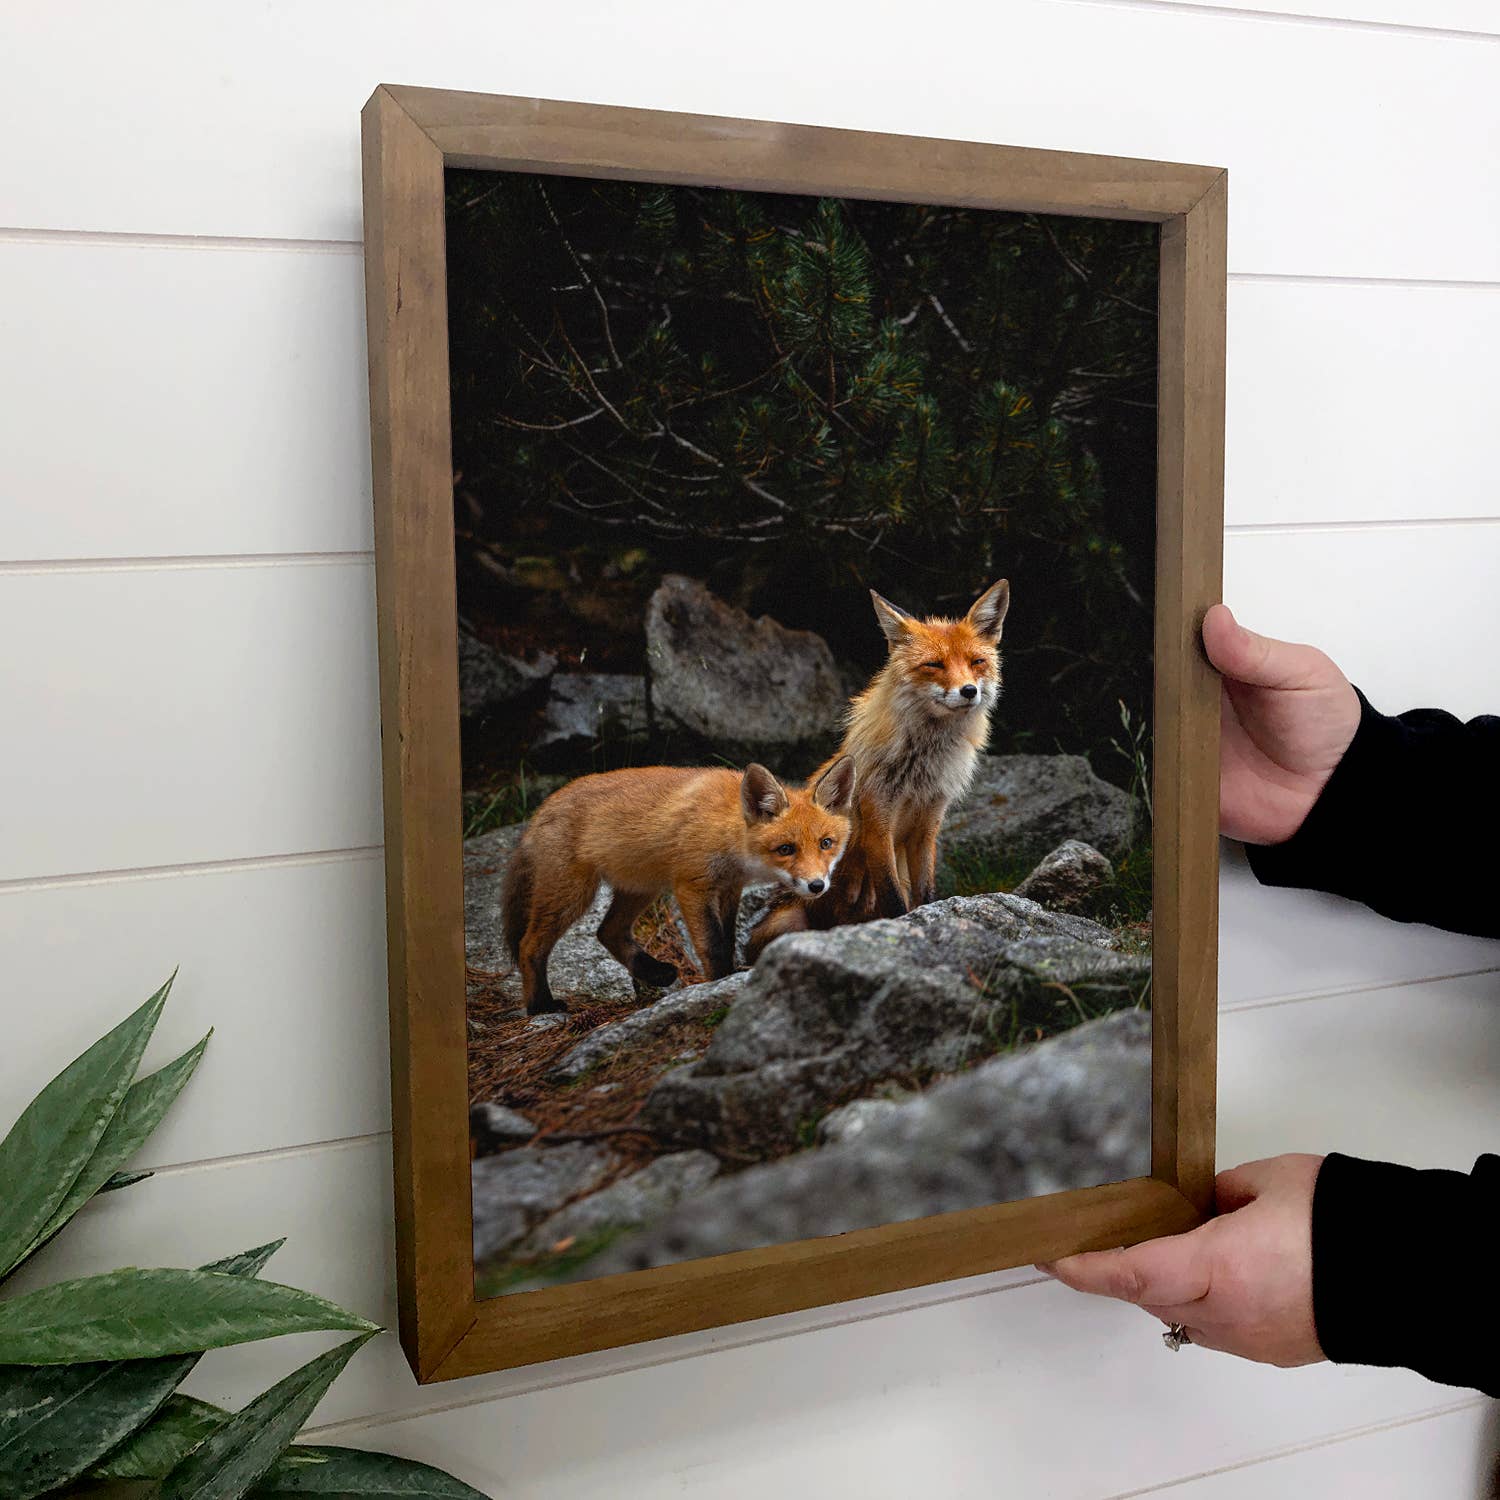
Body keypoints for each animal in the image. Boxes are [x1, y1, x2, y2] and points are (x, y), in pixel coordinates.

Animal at [501, 755, 857, 1015]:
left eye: (826, 843)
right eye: (786, 849)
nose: (816, 886)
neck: (727, 830)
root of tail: (540, 810)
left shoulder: (729, 888)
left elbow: (727, 938)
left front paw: (729, 975)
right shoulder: (692, 886)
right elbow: (712, 944)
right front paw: (719, 983)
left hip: (642, 888)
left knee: (608, 931)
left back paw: (653, 972)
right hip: (573, 893)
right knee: (530, 945)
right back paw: (540, 1006)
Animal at [745, 578, 1010, 963]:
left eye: (977, 662)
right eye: (934, 665)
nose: (969, 690)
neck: (920, 770)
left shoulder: (927, 825)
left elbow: (925, 893)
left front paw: (930, 917)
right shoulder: (877, 824)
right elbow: (893, 899)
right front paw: (899, 932)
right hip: (788, 923)